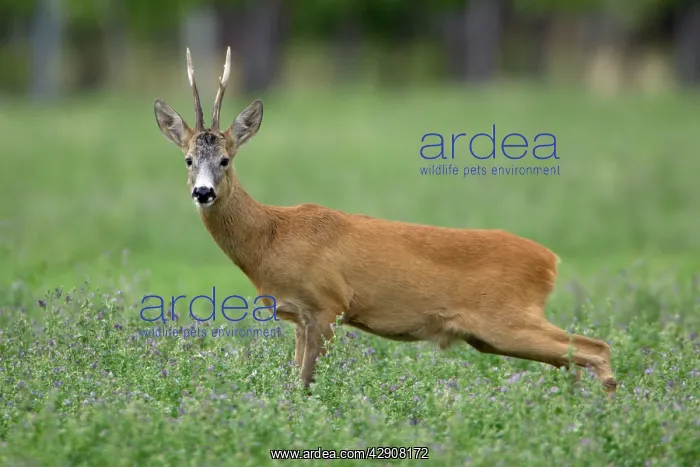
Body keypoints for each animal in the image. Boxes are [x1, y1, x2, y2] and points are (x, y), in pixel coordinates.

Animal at [153, 47, 618, 397]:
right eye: (188, 159)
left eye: (226, 159)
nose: (203, 192)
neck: (271, 237)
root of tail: (550, 260)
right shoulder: (300, 316)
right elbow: (293, 382)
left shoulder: (327, 303)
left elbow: (306, 384)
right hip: (496, 332)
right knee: (574, 357)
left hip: (506, 317)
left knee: (596, 347)